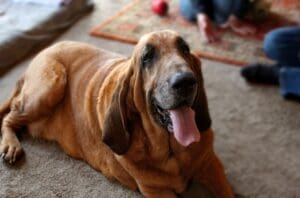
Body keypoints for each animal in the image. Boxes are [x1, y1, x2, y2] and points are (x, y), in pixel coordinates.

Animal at [0, 29, 233, 198]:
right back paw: (11, 145)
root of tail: (43, 51)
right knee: (9, 117)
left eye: (184, 48)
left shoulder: (211, 164)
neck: (172, 151)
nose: (185, 81)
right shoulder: (156, 191)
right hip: (51, 84)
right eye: (147, 57)